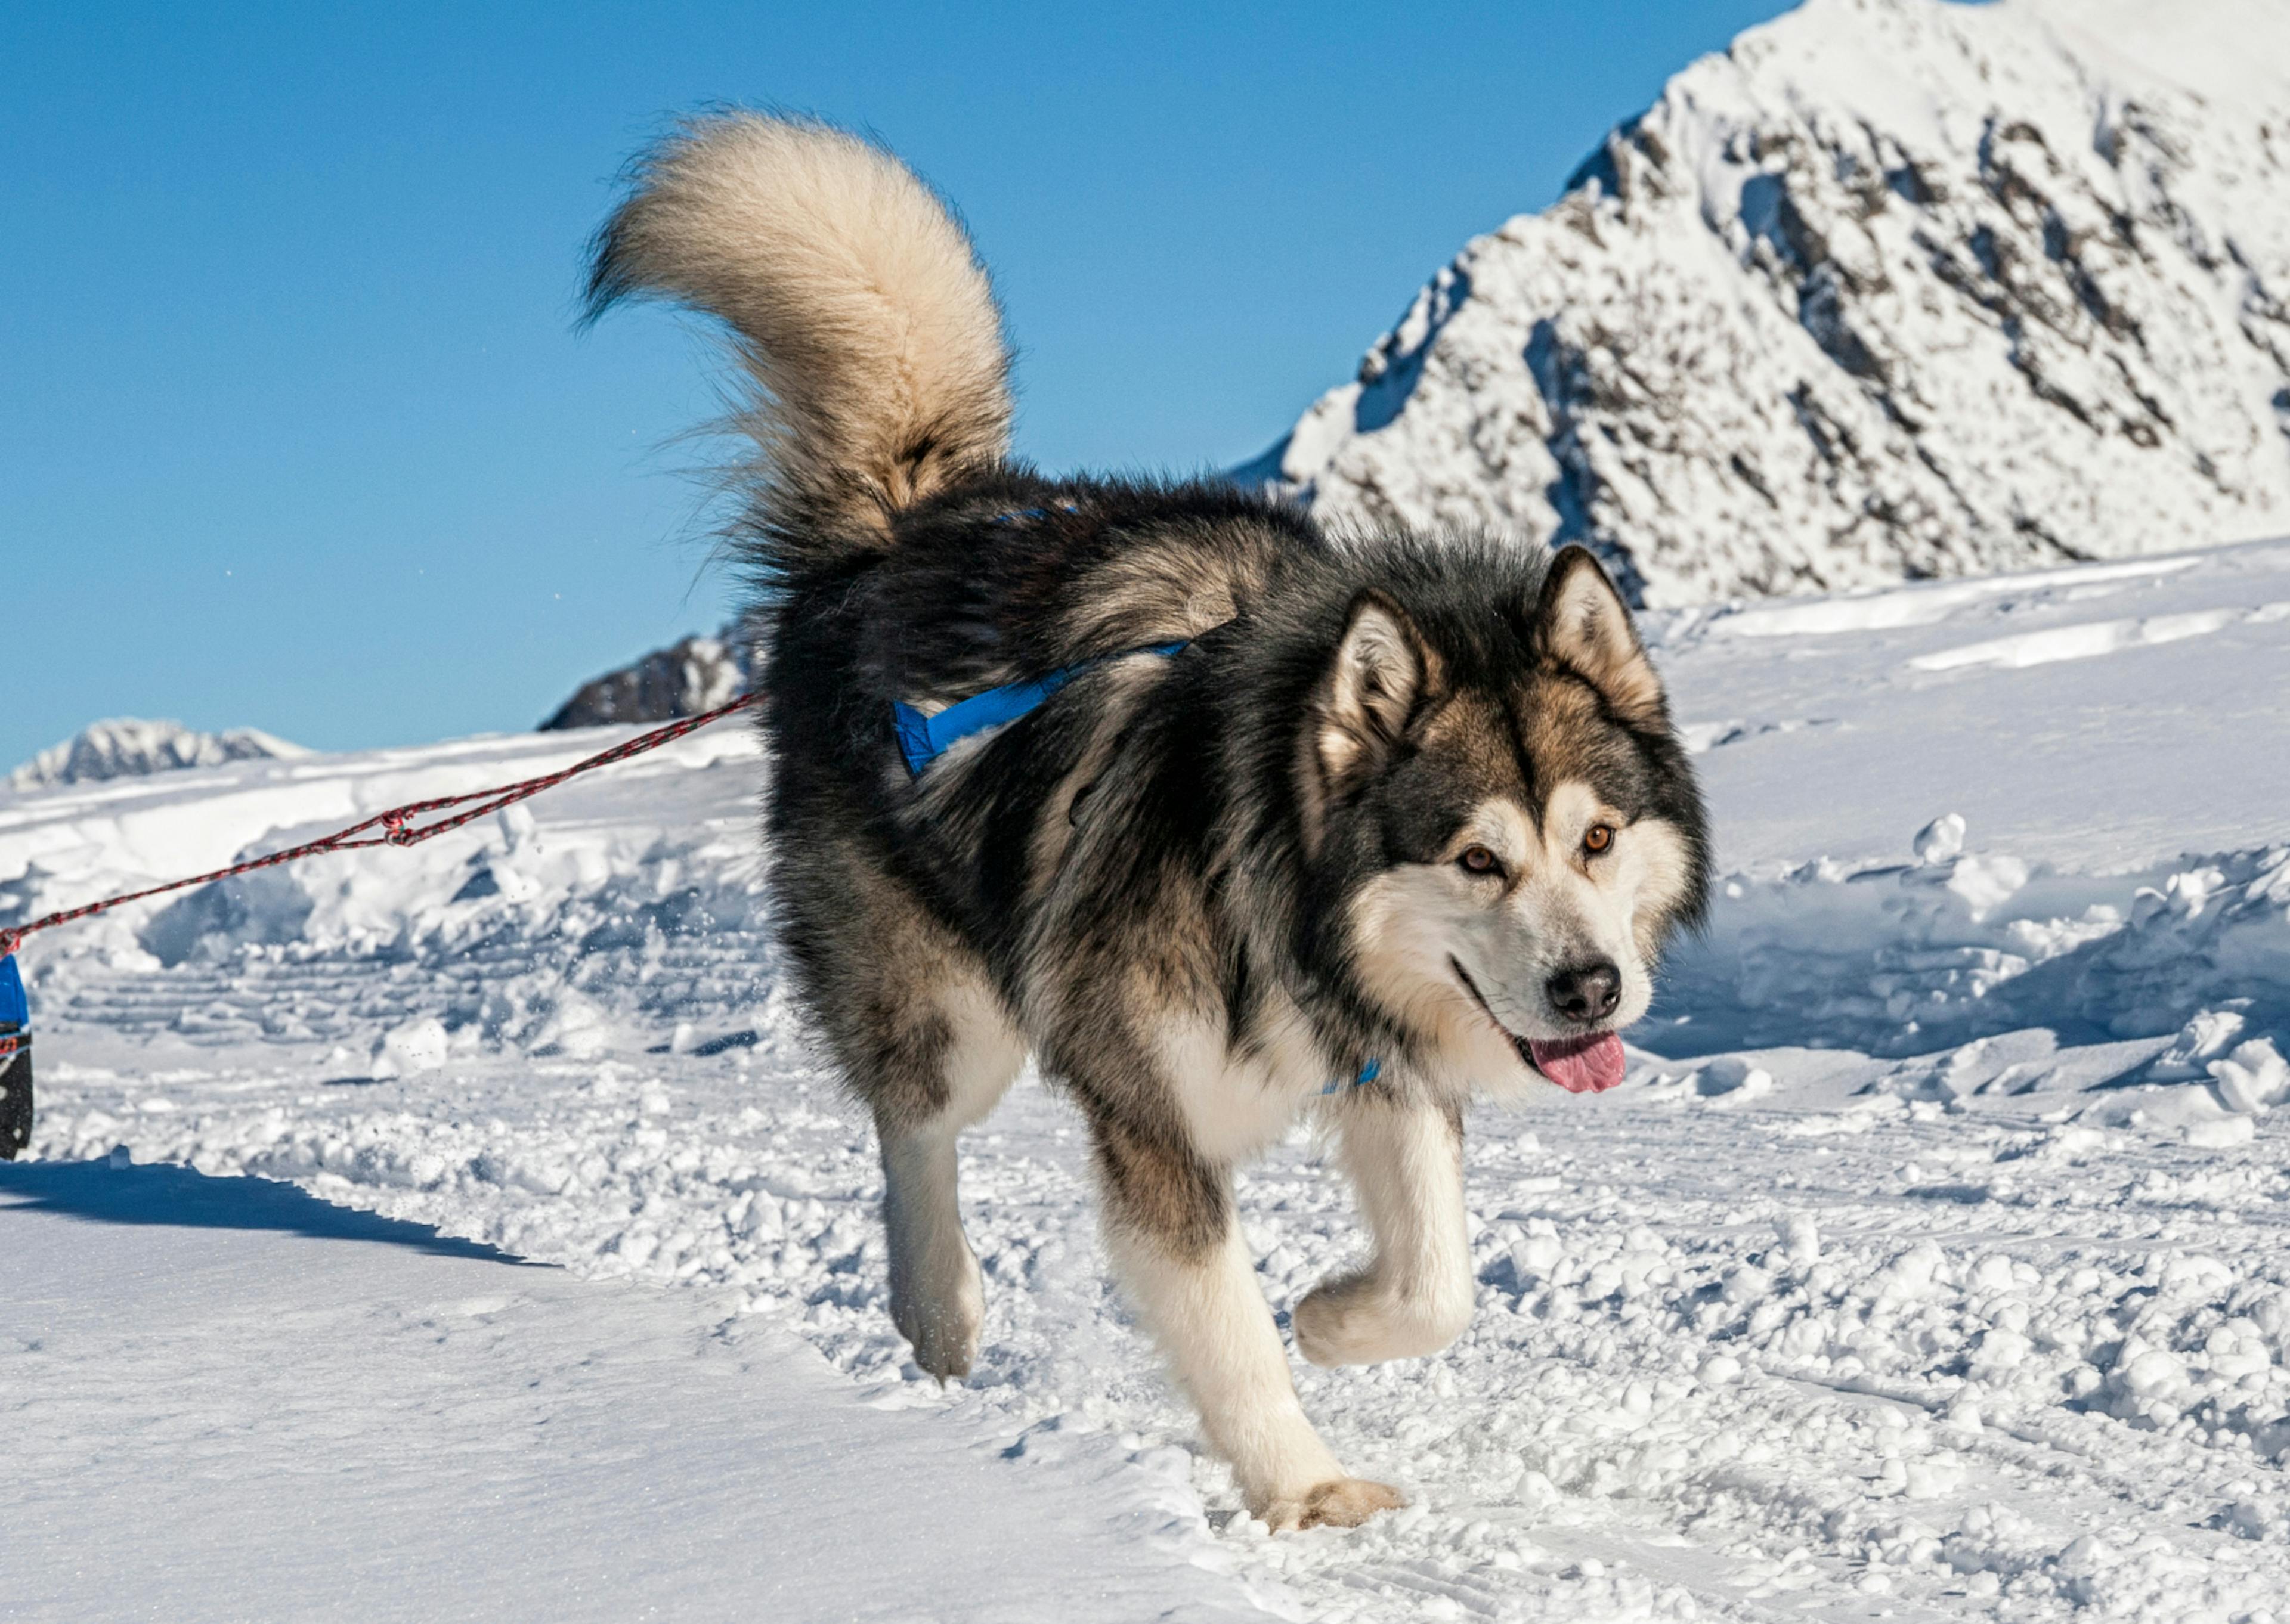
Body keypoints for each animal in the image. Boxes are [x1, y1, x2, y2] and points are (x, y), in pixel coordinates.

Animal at [581, 117, 1713, 1530]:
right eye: (1476, 857)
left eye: (1599, 839)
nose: (1591, 990)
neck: (1272, 887)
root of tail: (901, 529)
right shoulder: (1152, 1120)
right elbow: (1225, 1323)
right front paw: (1304, 1488)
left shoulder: (1379, 1055)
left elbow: (1437, 1283)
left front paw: (1335, 1317)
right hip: (956, 1013)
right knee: (915, 1128)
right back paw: (939, 1310)